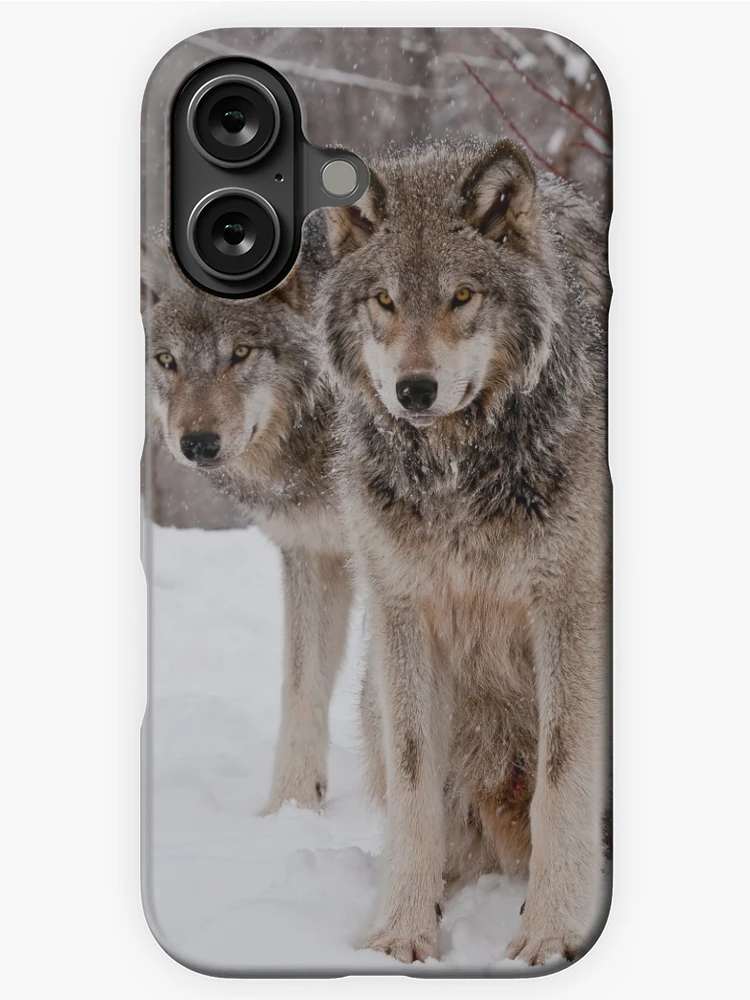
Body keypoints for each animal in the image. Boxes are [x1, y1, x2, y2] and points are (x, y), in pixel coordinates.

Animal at [143, 219, 352, 814]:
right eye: (167, 361)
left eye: (240, 352)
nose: (197, 443)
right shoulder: (313, 550)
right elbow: (302, 685)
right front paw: (292, 810)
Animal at [320, 138, 611, 965]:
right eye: (385, 301)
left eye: (461, 296)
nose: (415, 390)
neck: (457, 474)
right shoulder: (403, 611)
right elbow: (416, 782)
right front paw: (400, 934)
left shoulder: (568, 608)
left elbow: (563, 777)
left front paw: (553, 934)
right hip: (373, 694)